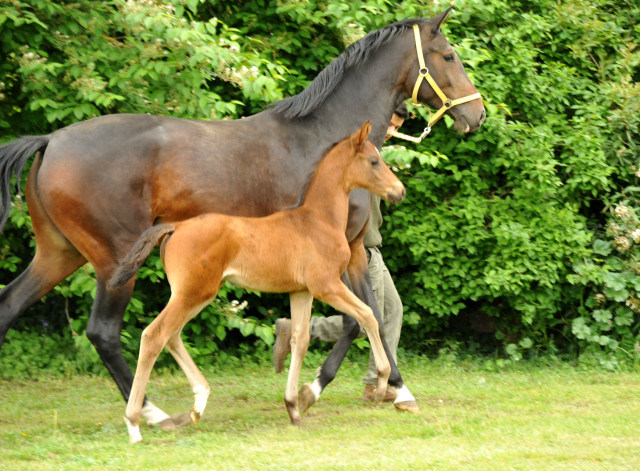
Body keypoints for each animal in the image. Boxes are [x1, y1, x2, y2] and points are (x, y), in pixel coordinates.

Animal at [107, 121, 402, 442]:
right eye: (373, 161)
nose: (399, 190)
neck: (318, 220)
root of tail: (175, 227)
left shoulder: (301, 291)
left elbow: (300, 339)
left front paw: (293, 407)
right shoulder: (326, 285)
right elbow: (368, 315)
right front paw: (383, 383)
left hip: (195, 295)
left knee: (171, 336)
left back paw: (198, 404)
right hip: (192, 293)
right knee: (154, 336)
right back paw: (135, 424)